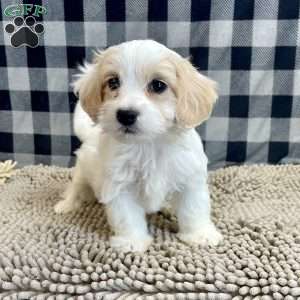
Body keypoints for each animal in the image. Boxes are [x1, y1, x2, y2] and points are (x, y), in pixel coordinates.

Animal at [54, 39, 223, 251]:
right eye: (113, 82)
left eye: (158, 85)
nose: (125, 114)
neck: (148, 144)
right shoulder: (119, 185)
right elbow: (126, 216)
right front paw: (132, 241)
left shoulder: (190, 179)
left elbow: (194, 209)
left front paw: (200, 234)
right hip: (82, 171)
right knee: (75, 188)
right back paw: (65, 205)